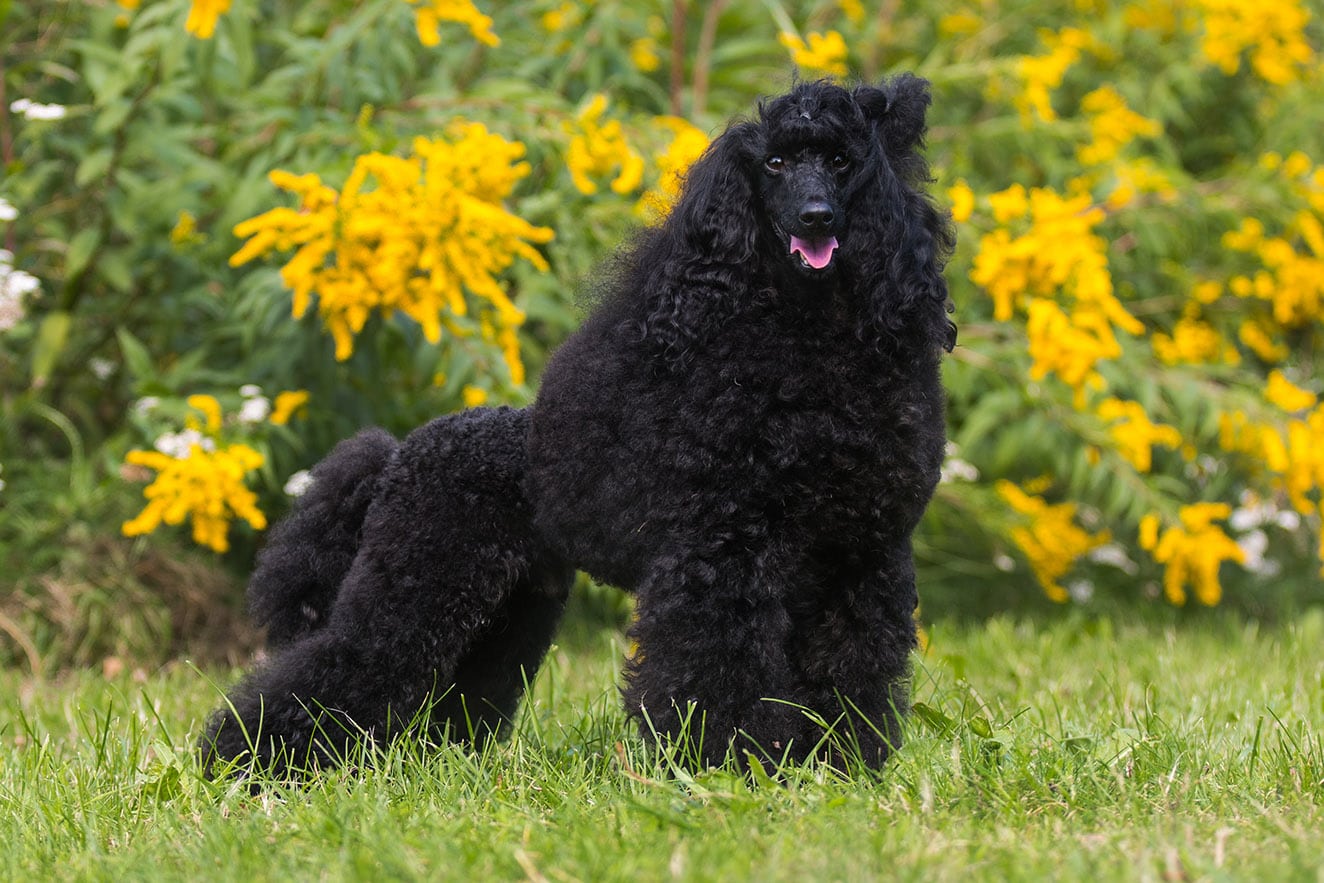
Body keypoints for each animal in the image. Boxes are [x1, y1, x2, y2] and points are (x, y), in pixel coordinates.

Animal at [198, 79, 953, 778]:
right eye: (774, 163)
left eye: (840, 160)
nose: (816, 216)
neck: (808, 347)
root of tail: (395, 454)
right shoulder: (720, 552)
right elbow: (715, 671)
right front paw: (724, 766)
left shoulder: (861, 553)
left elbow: (851, 670)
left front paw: (843, 765)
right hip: (419, 574)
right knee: (350, 659)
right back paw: (245, 762)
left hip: (506, 604)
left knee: (450, 691)